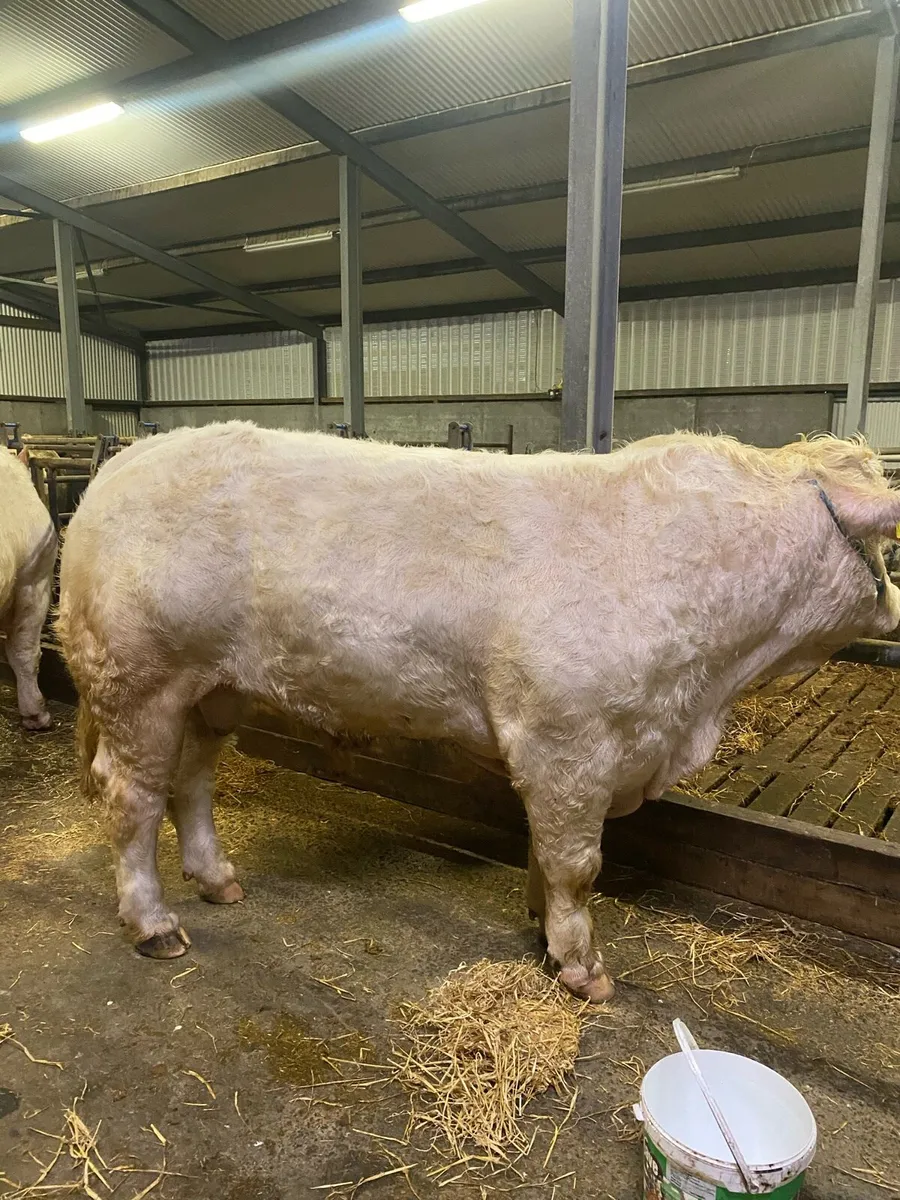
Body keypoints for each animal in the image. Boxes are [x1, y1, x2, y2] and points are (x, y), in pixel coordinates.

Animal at [56, 424, 900, 1002]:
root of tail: (122, 465)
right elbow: (576, 863)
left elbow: (546, 855)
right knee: (132, 799)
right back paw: (153, 923)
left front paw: (544, 930)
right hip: (138, 679)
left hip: (212, 686)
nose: (894, 607)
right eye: (888, 548)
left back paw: (216, 877)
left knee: (191, 781)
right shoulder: (568, 740)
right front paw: (580, 965)